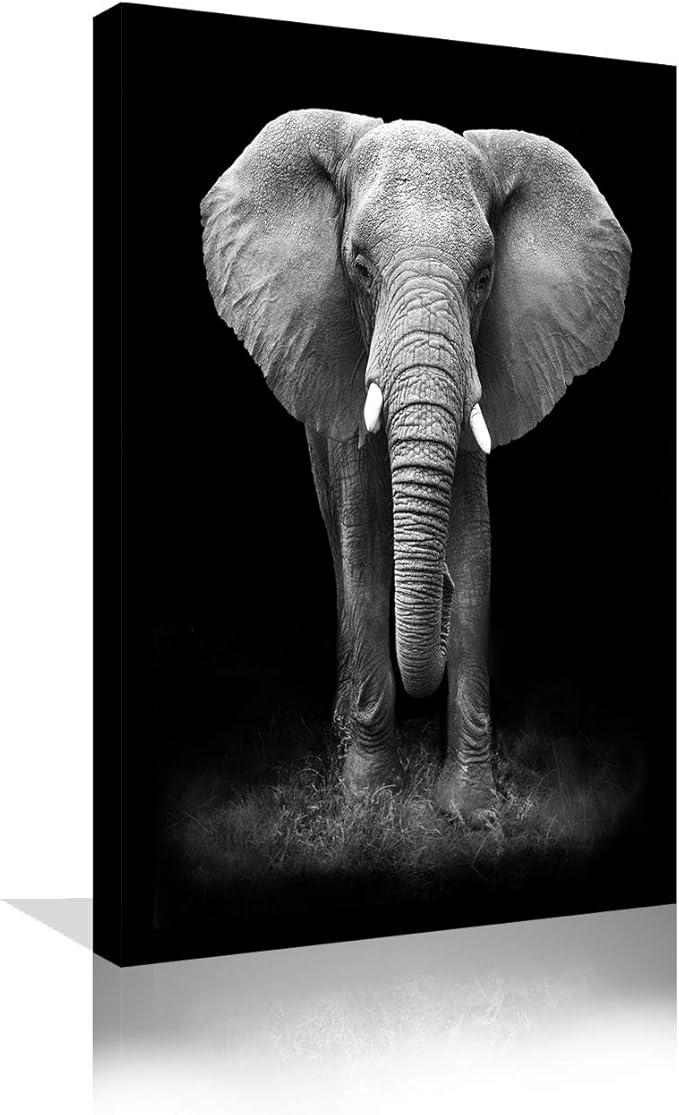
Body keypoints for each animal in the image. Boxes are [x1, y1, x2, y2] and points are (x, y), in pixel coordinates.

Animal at [200, 110, 630, 823]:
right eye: (358, 265)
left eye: (484, 275)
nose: (441, 593)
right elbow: (366, 546)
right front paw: (369, 798)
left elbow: (477, 546)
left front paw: (471, 813)